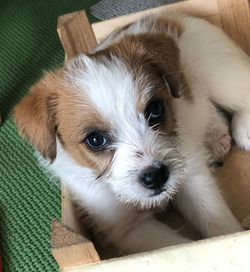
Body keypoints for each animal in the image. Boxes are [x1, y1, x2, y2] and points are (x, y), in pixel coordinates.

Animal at [15, 13, 248, 254]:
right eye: (95, 140)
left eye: (155, 110)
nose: (156, 176)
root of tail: (173, 16)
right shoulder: (128, 229)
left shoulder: (193, 177)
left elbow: (218, 224)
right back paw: (215, 136)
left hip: (218, 74)